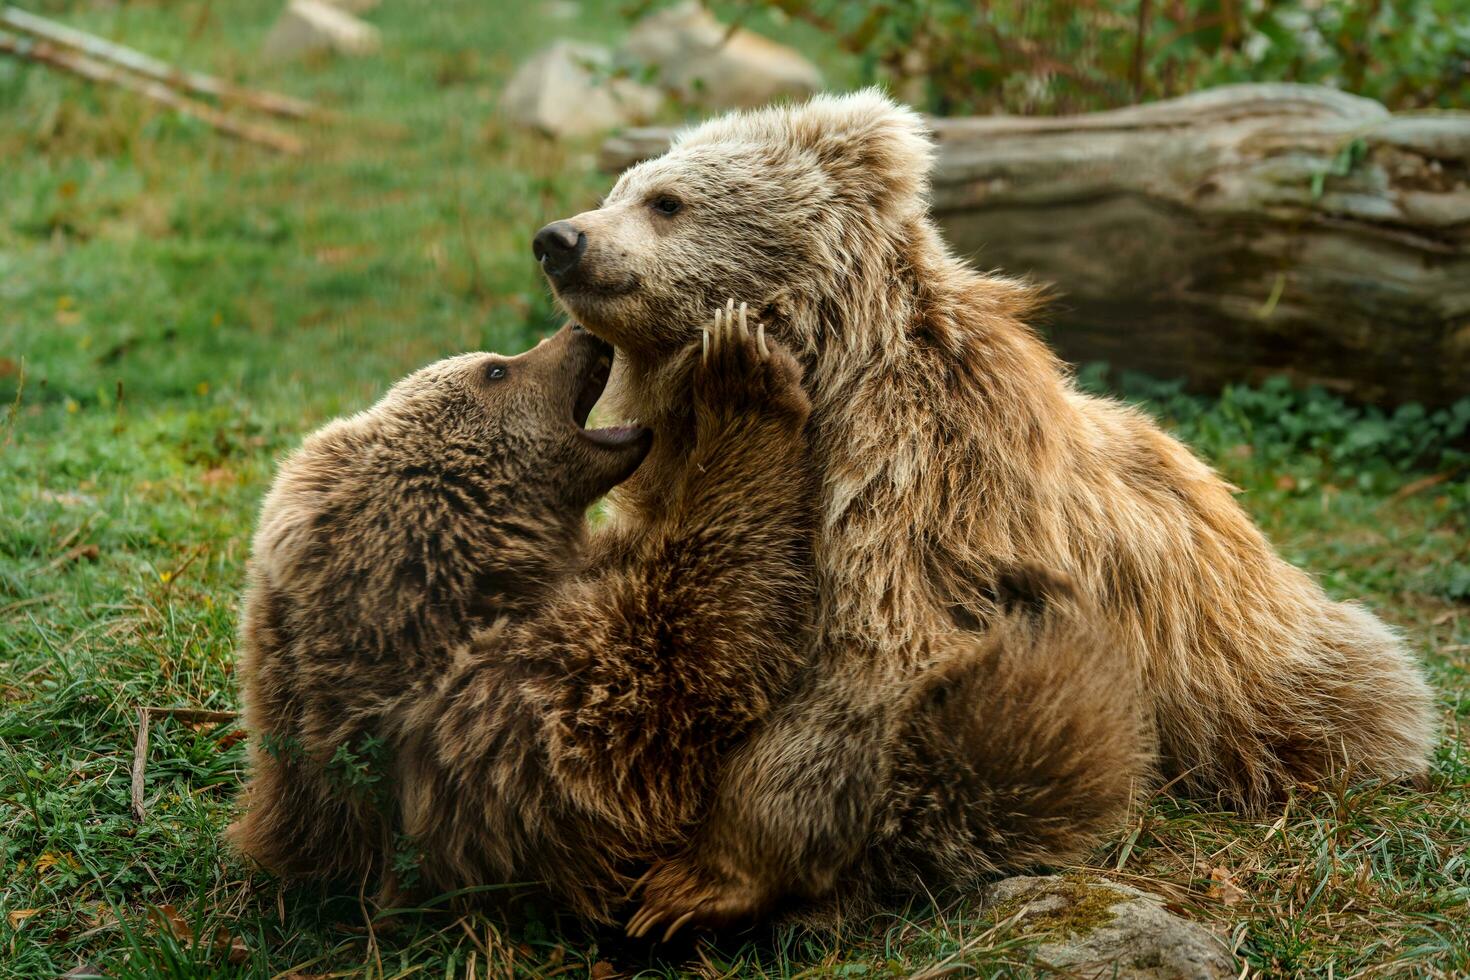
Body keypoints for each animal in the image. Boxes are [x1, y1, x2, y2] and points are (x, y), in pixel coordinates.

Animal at [532, 86, 1434, 934]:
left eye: (667, 200)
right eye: (619, 188)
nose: (560, 240)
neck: (826, 364)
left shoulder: (914, 475)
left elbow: (878, 652)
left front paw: (700, 879)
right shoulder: (681, 478)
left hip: (1243, 661)